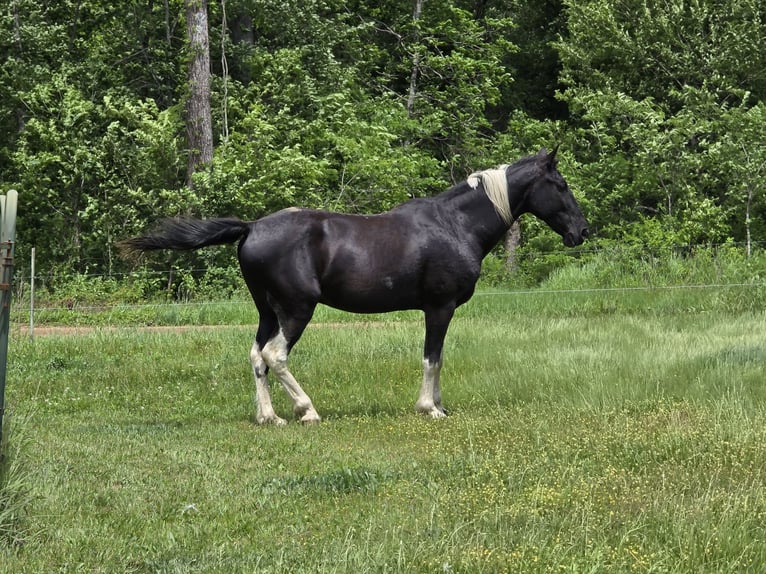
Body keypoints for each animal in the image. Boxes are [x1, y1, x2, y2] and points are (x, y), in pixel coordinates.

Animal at [120, 147, 589, 424]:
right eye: (560, 185)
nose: (582, 231)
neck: (455, 224)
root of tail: (251, 226)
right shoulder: (439, 307)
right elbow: (432, 359)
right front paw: (430, 409)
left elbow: (439, 359)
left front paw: (439, 404)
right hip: (296, 310)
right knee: (275, 355)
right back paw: (306, 411)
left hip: (268, 311)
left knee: (256, 357)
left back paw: (270, 417)